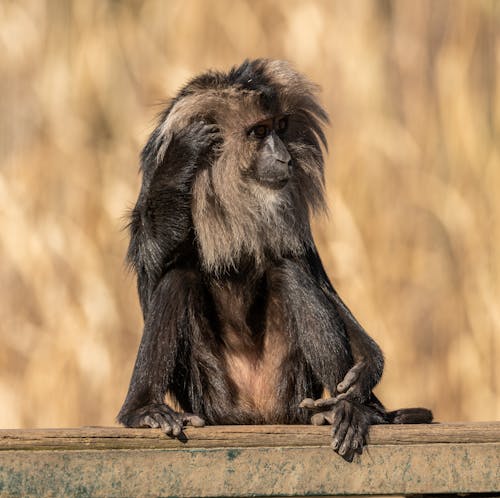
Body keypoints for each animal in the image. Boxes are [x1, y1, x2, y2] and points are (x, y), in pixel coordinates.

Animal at [119, 59, 432, 462]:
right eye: (259, 131)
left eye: (281, 127)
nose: (284, 156)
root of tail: (258, 412)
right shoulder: (154, 170)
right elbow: (152, 263)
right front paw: (181, 157)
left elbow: (313, 275)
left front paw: (366, 373)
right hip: (211, 395)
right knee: (177, 278)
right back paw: (142, 411)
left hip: (292, 388)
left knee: (290, 272)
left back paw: (348, 409)